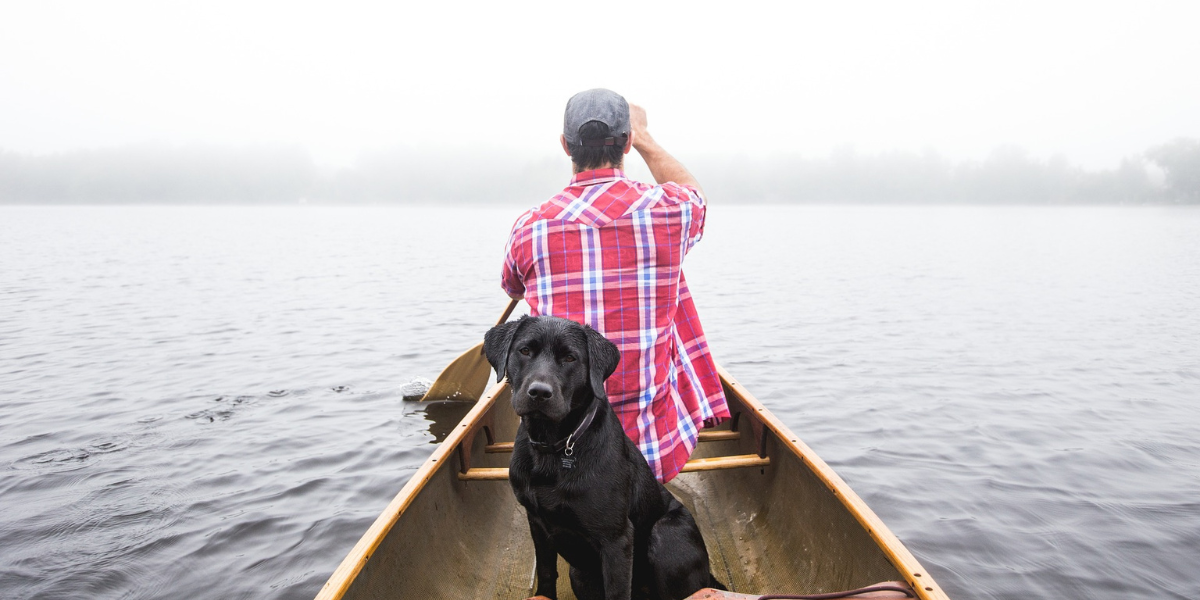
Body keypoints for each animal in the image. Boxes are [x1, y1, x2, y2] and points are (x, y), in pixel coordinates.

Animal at [480, 314, 720, 600]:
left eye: (570, 358)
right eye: (525, 350)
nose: (539, 392)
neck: (555, 447)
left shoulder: (616, 539)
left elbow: (616, 591)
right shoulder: (537, 523)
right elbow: (547, 572)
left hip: (667, 534)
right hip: (580, 575)